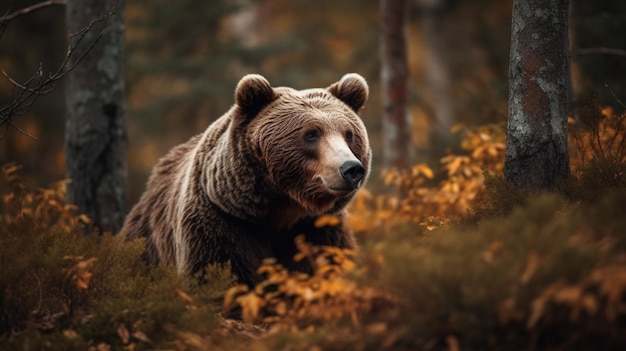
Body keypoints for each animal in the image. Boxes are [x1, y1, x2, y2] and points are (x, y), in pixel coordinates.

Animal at [119, 73, 368, 288]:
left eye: (349, 134)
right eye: (311, 134)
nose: (351, 168)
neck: (282, 209)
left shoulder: (318, 228)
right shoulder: (221, 222)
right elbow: (218, 275)